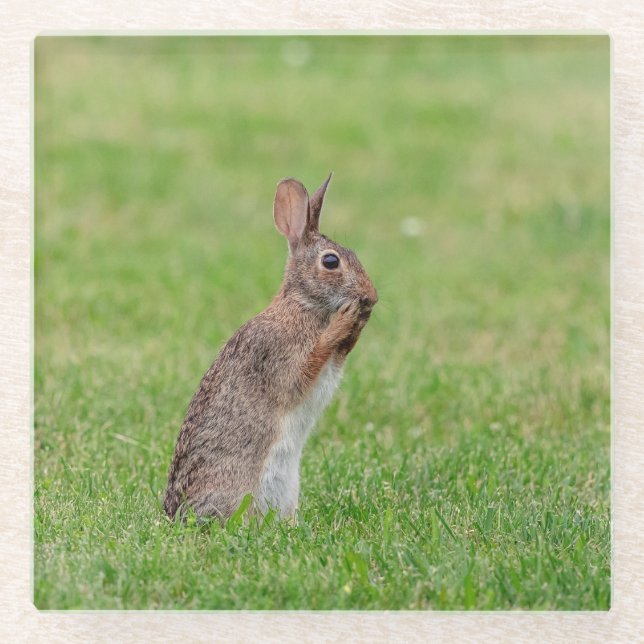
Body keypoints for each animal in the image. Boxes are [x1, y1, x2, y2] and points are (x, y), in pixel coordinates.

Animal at [164, 173, 378, 522]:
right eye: (331, 261)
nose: (371, 296)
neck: (303, 304)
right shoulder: (278, 355)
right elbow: (307, 367)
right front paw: (345, 319)